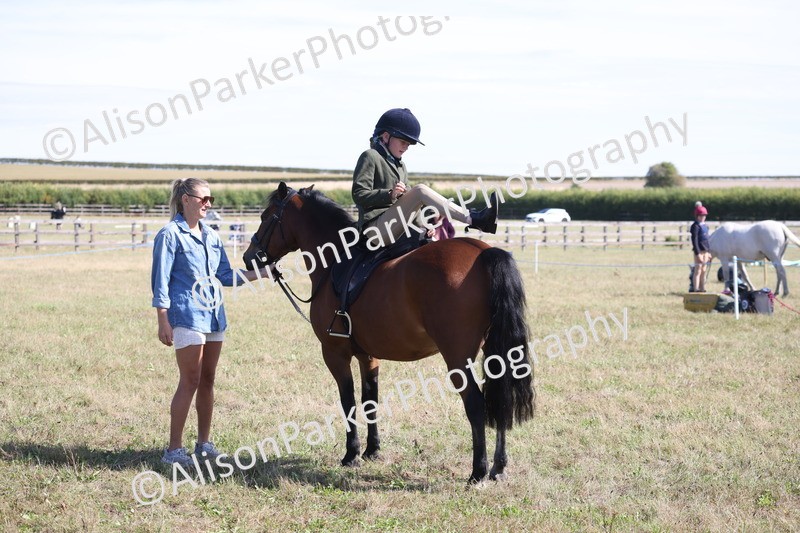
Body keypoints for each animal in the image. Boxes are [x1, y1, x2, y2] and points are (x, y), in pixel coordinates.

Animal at [243, 183, 535, 483]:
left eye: (265, 217)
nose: (249, 257)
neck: (337, 260)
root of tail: (483, 252)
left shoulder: (335, 353)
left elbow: (348, 401)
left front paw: (351, 454)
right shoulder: (368, 356)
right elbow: (370, 400)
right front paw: (372, 450)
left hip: (457, 358)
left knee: (476, 405)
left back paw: (478, 471)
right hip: (495, 353)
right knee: (500, 400)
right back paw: (498, 467)